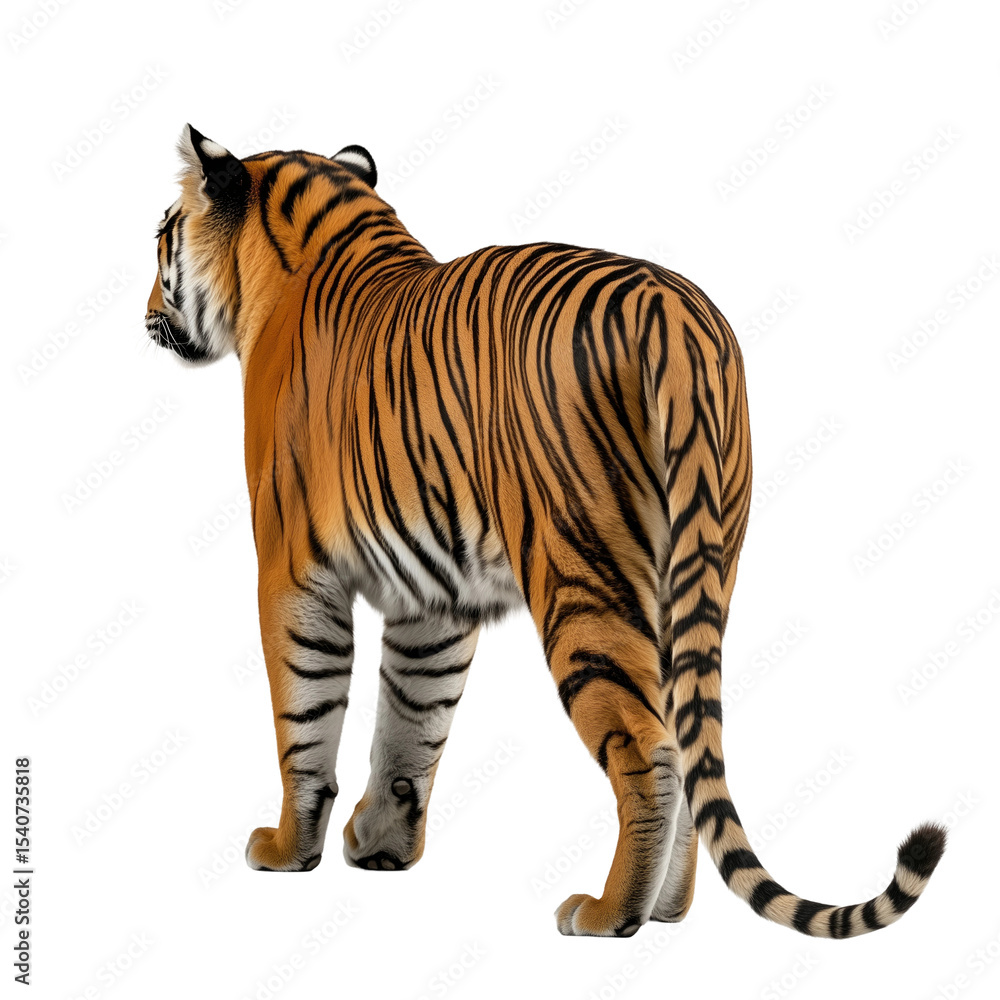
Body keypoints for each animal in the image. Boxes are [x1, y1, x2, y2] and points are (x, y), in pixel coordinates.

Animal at [144, 124, 945, 938]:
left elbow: (305, 714)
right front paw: (383, 847)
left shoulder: (293, 570)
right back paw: (667, 909)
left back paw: (610, 913)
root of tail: (674, 313)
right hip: (701, 565)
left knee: (649, 749)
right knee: (689, 737)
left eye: (159, 237)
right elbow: (412, 720)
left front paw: (286, 848)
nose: (146, 309)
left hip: (579, 573)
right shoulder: (433, 599)